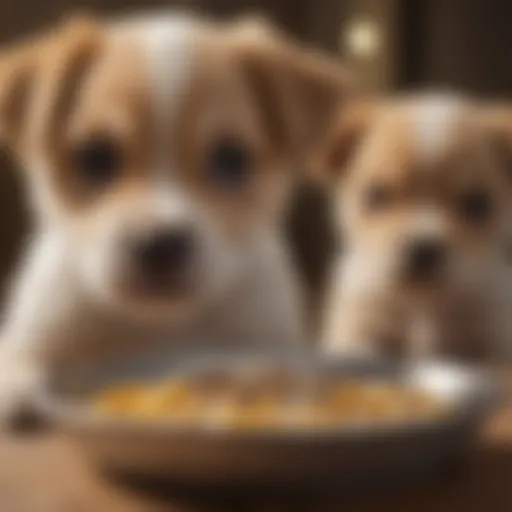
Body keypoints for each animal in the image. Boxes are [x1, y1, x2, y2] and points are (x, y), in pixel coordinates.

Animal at [0, 12, 350, 420]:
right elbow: (21, 360)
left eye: (230, 160)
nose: (159, 244)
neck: (161, 325)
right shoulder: (38, 332)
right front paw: (17, 388)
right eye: (96, 157)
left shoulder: (269, 339)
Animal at [316, 94, 512, 362]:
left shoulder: (492, 341)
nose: (424, 248)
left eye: (478, 204)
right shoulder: (360, 334)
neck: (422, 308)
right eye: (377, 195)